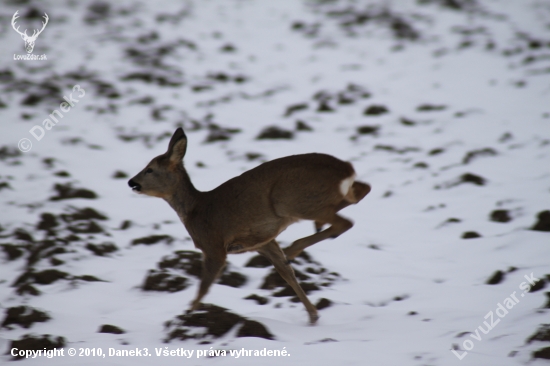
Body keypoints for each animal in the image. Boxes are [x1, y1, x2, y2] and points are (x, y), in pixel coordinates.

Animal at [128, 128, 370, 324]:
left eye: (150, 169)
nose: (131, 182)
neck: (195, 209)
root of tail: (346, 169)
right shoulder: (263, 242)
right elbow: (286, 273)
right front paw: (313, 316)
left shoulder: (214, 245)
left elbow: (204, 285)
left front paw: (187, 315)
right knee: (362, 191)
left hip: (291, 200)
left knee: (345, 221)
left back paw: (296, 246)